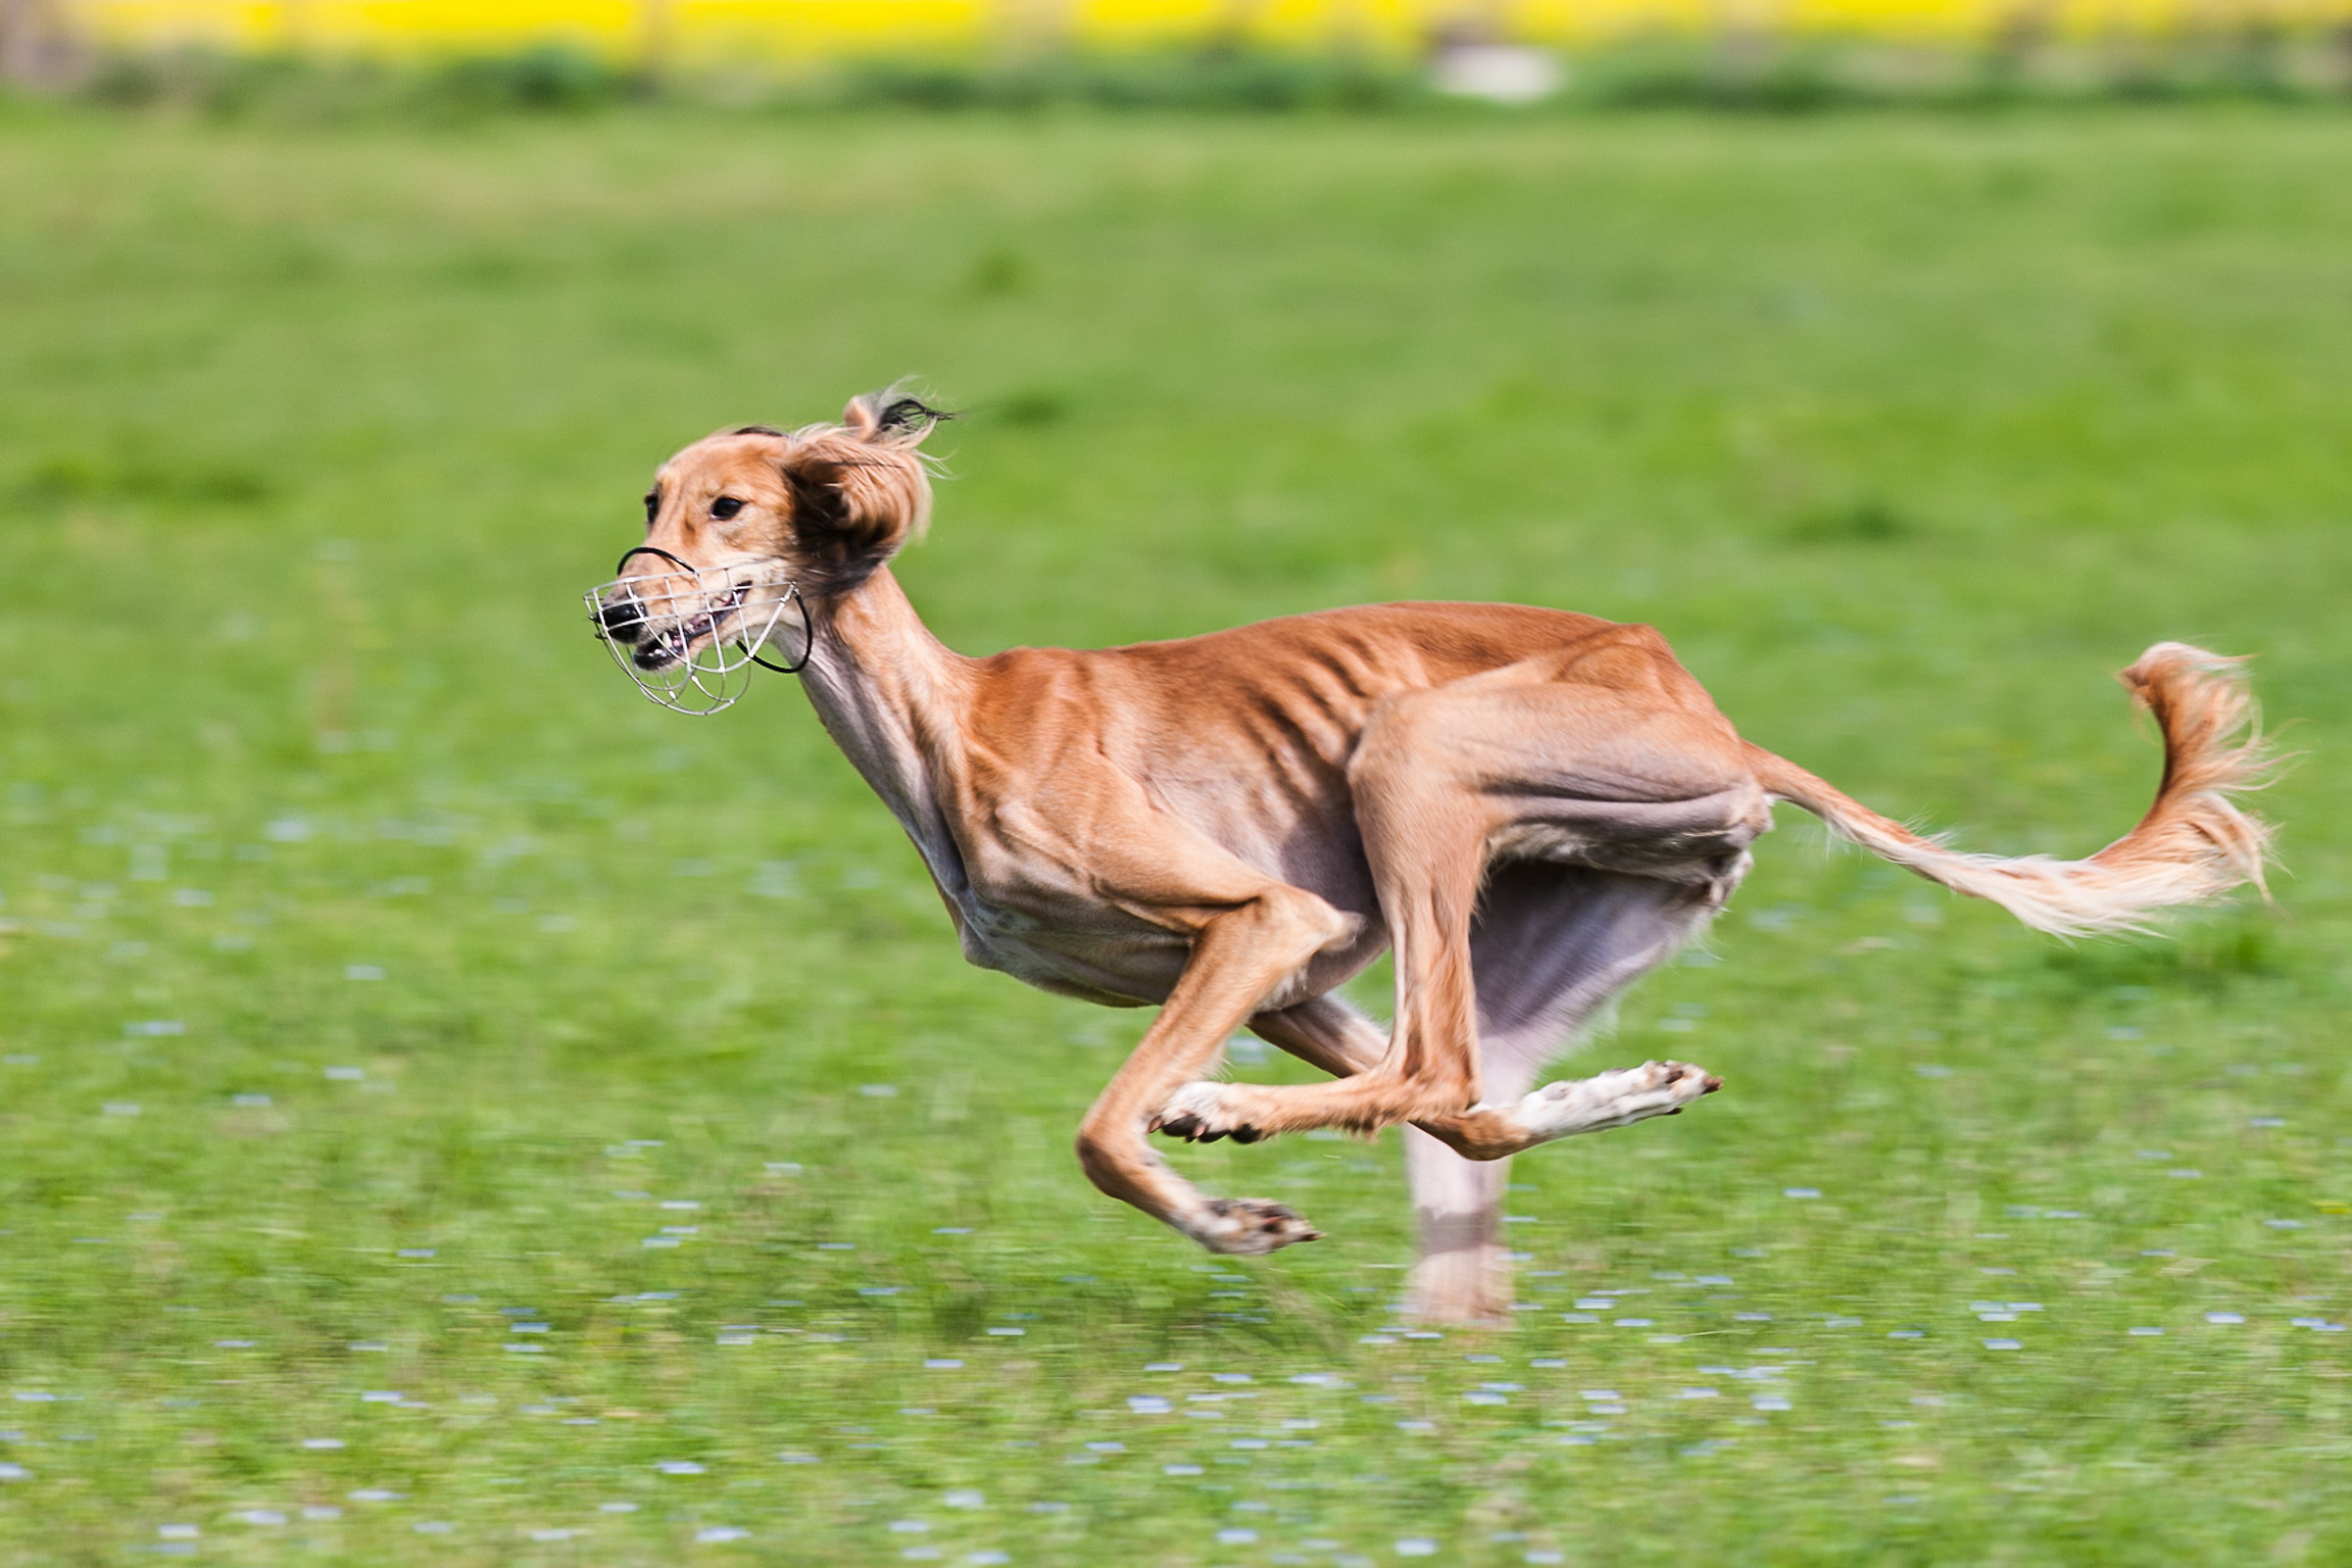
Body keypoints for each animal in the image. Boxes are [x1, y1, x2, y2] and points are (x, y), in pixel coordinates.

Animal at [588, 390, 2277, 1325]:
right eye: (650, 501)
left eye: (730, 504)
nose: (616, 611)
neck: (953, 724)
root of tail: (1715, 715)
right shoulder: (1286, 977)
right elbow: (1418, 1108)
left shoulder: (1264, 919)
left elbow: (1107, 1131)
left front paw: (1230, 1200)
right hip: (1559, 885)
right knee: (1469, 1099)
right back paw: (1634, 1089)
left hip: (1413, 755)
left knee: (1437, 1069)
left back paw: (1229, 1119)